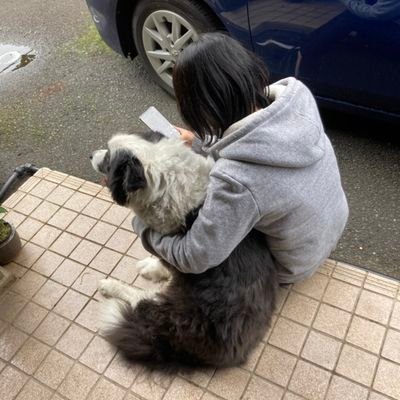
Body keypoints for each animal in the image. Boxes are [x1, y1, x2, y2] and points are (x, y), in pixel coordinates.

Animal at [90, 133, 278, 370]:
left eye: (107, 159)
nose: (91, 155)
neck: (166, 180)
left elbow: (164, 263)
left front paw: (151, 267)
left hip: (170, 306)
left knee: (138, 298)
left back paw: (110, 286)